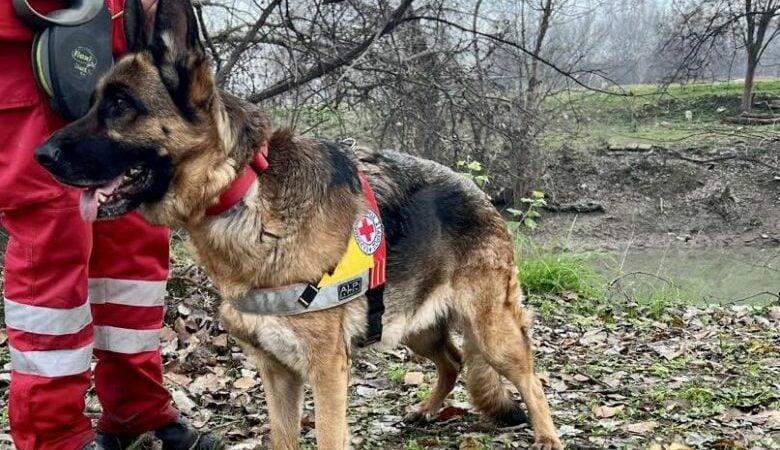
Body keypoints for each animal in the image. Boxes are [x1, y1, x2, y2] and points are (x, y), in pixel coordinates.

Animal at [32, 0, 560, 446]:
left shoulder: (326, 371)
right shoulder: (276, 371)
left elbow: (327, 436)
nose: (41, 156)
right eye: (94, 102)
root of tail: (480, 193)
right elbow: (283, 437)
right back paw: (427, 410)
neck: (243, 191)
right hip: (411, 324)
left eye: (121, 106)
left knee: (529, 375)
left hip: (490, 330)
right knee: (453, 360)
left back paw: (546, 435)